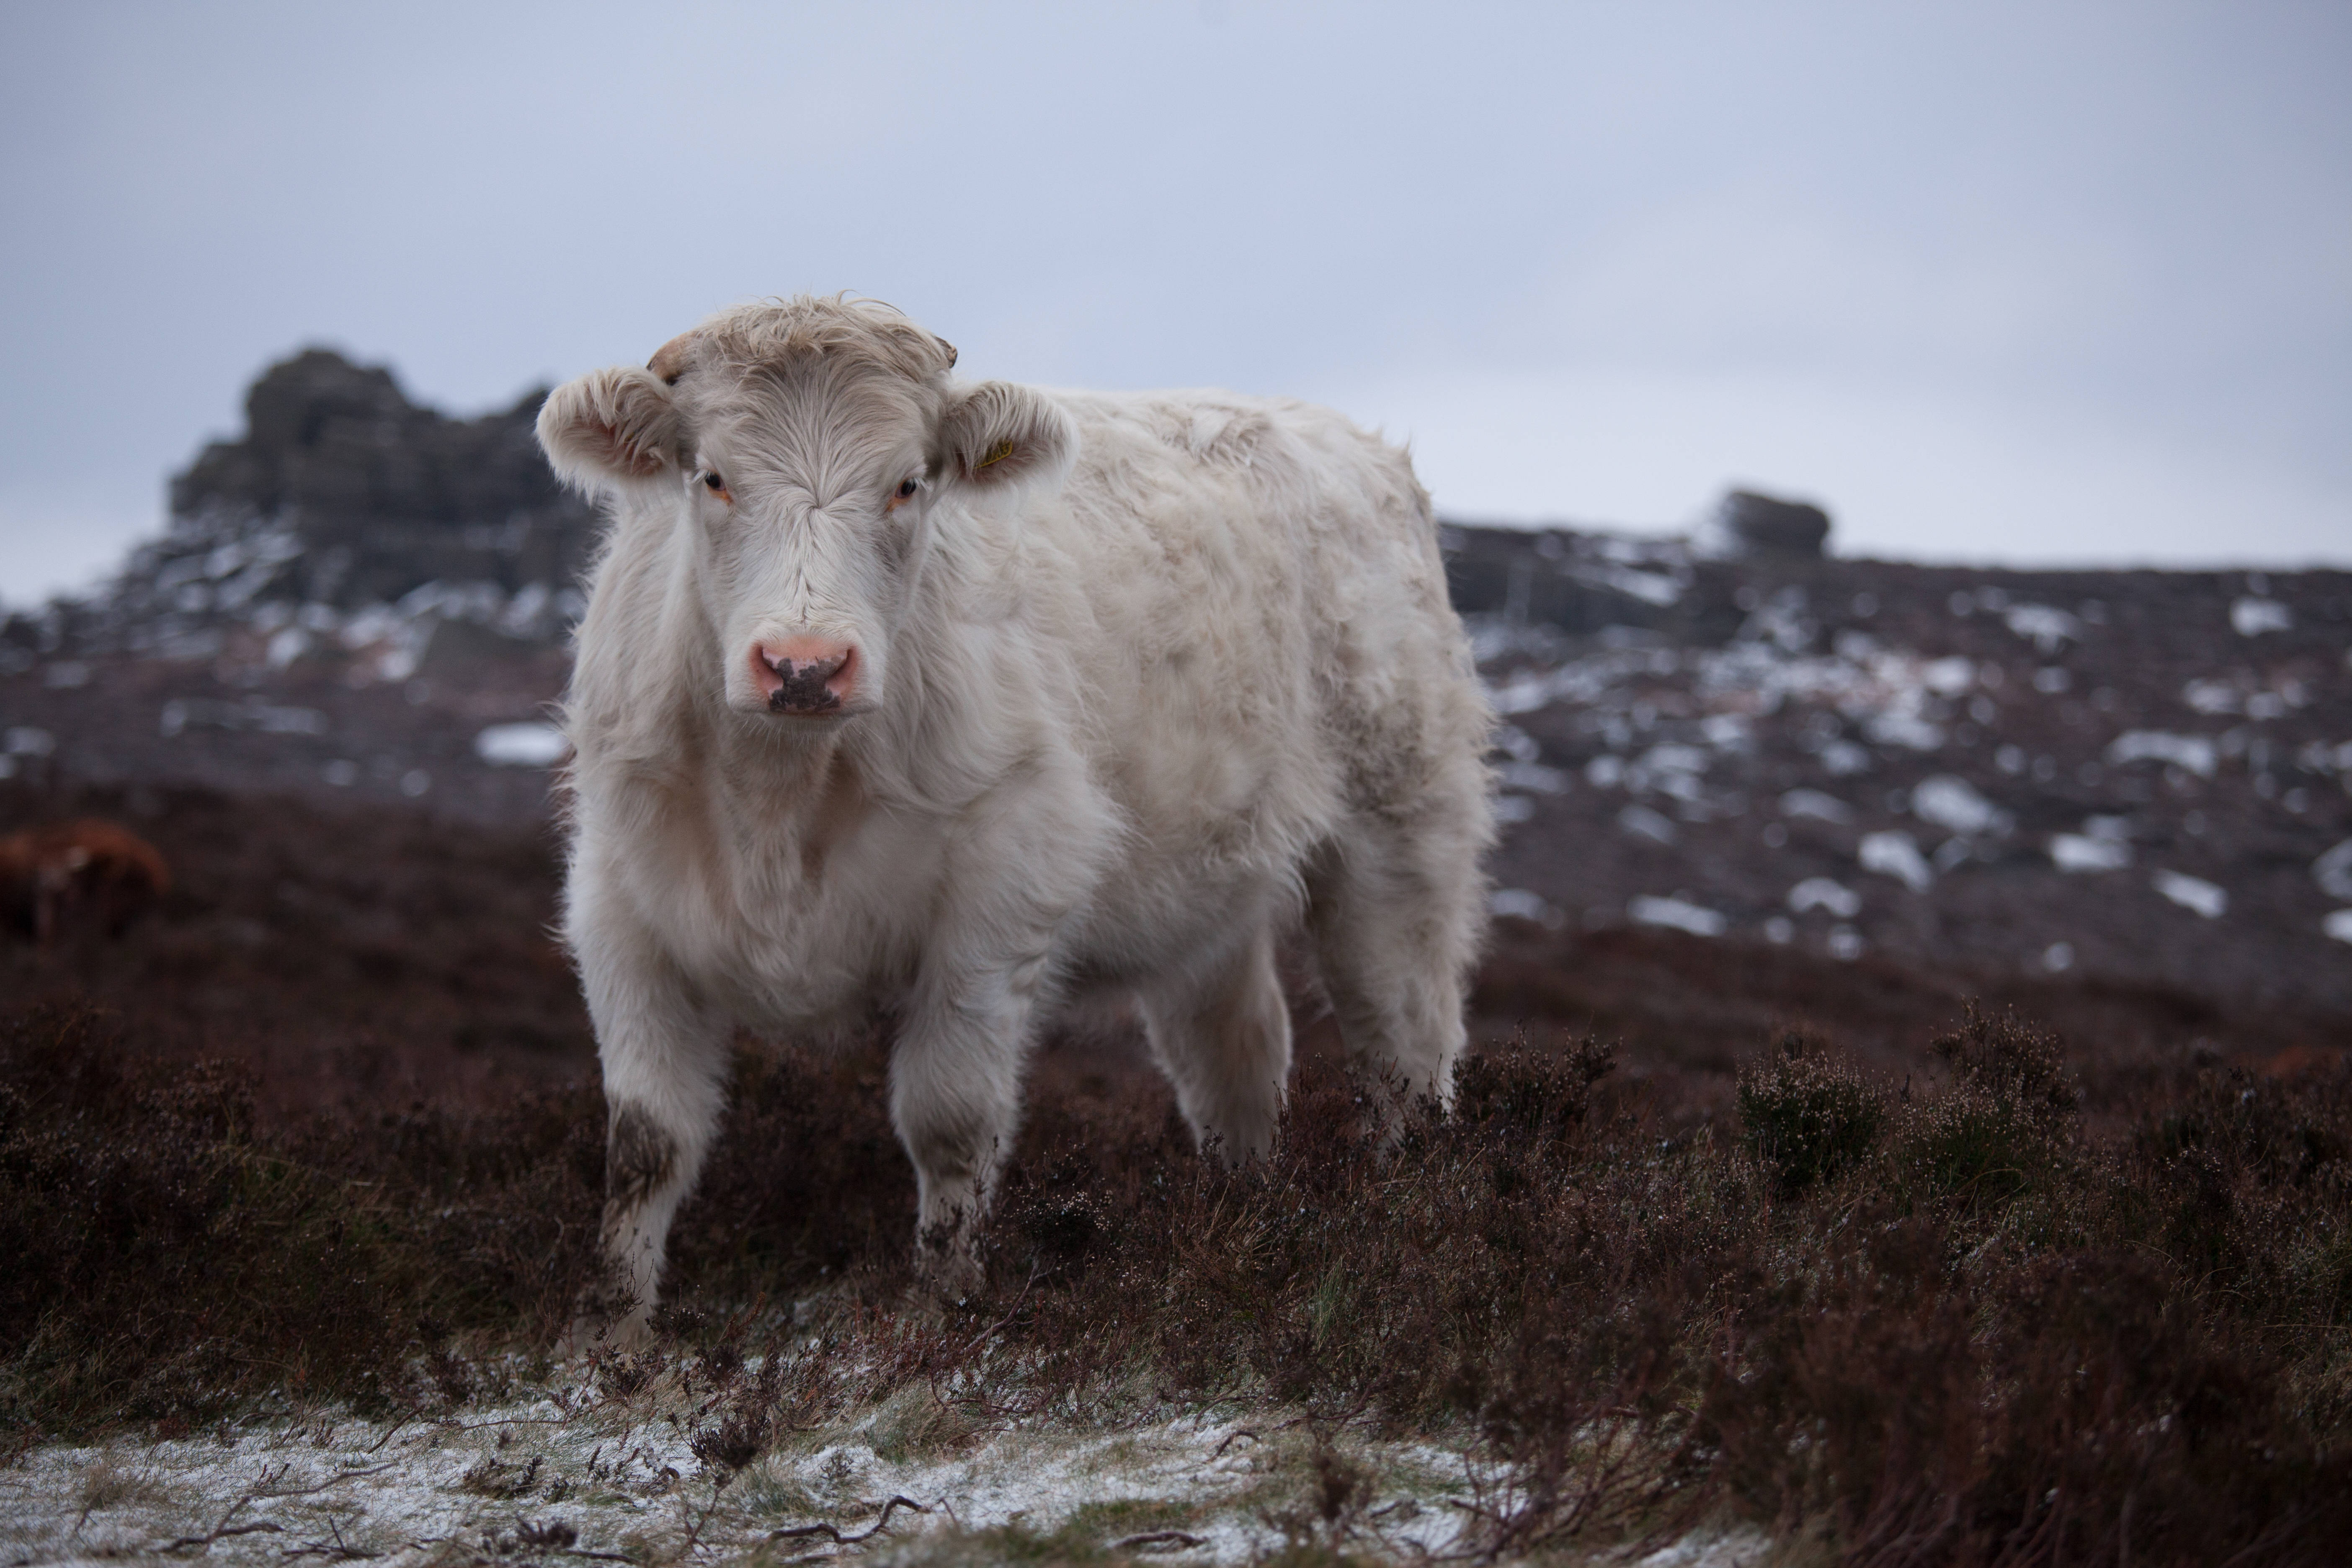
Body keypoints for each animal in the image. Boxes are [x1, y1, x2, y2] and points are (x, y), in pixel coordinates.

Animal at [537, 296, 1493, 1339]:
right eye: (711, 477)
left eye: (908, 484)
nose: (804, 667)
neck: (778, 801)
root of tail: (1347, 439)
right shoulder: (620, 908)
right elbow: (647, 1140)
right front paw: (616, 1333)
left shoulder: (998, 901)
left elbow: (950, 1123)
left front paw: (942, 1307)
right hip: (1206, 897)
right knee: (1237, 1061)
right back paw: (1243, 1216)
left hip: (1400, 836)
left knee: (1406, 1048)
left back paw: (1409, 1227)